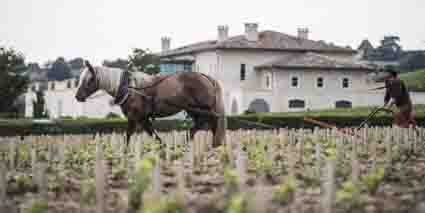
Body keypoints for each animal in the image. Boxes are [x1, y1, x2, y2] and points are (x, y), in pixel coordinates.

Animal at [73, 60, 225, 149]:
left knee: (211, 122)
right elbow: (150, 133)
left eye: (89, 79)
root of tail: (206, 77)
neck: (129, 88)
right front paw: (164, 148)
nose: (78, 96)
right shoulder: (141, 118)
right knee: (204, 124)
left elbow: (131, 135)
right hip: (193, 110)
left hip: (202, 109)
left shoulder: (136, 117)